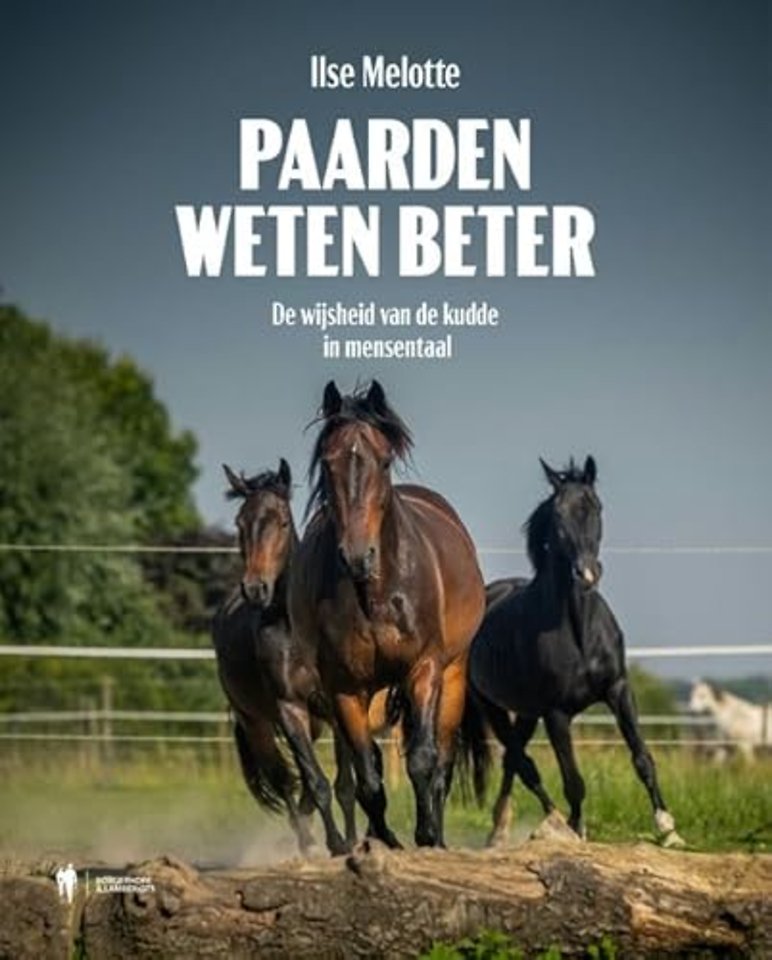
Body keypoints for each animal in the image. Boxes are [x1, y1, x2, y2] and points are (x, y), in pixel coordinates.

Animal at [212, 459, 350, 855]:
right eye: (240, 522)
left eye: (283, 521)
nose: (256, 588)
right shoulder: (289, 708)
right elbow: (316, 781)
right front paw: (336, 844)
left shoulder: (336, 706)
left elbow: (343, 785)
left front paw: (355, 840)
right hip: (256, 722)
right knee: (283, 779)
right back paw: (305, 840)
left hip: (314, 721)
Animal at [289, 380, 486, 848]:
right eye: (329, 463)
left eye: (383, 460)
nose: (357, 557)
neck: (376, 593)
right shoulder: (345, 688)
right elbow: (368, 777)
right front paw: (385, 840)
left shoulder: (425, 669)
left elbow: (423, 760)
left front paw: (428, 835)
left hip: (453, 674)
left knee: (443, 760)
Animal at [462, 456, 684, 847]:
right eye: (558, 513)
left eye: (596, 507)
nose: (586, 573)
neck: (581, 633)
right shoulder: (557, 714)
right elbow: (574, 782)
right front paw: (577, 831)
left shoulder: (618, 690)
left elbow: (642, 757)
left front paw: (668, 829)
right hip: (492, 707)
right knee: (523, 764)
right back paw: (539, 825)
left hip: (526, 713)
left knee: (513, 762)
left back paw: (504, 829)